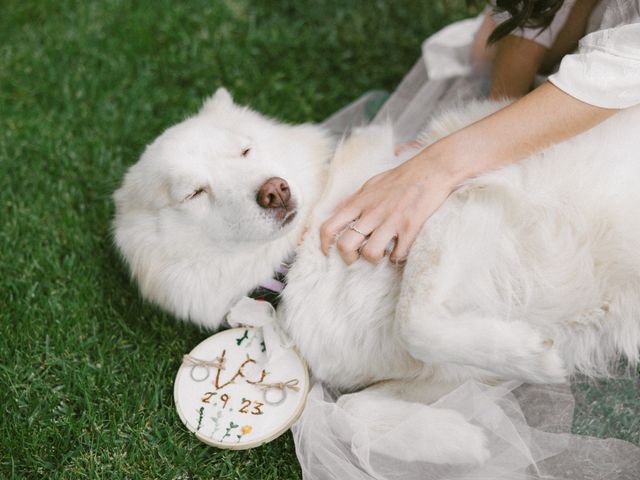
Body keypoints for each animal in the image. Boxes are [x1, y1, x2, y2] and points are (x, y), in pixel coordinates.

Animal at [112, 90, 640, 464]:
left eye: (244, 150)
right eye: (194, 193)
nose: (275, 191)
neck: (300, 252)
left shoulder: (450, 211)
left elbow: (414, 320)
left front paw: (534, 358)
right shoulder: (447, 375)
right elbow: (351, 409)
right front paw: (461, 441)